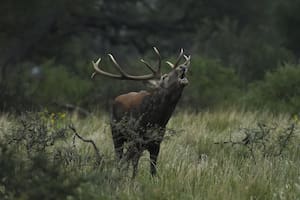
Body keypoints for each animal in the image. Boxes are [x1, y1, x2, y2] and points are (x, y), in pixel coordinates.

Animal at [90, 47, 191, 178]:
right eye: (164, 77)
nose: (182, 67)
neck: (157, 120)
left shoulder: (156, 143)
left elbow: (153, 170)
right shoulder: (137, 139)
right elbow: (134, 165)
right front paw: (133, 179)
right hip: (116, 133)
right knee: (120, 158)